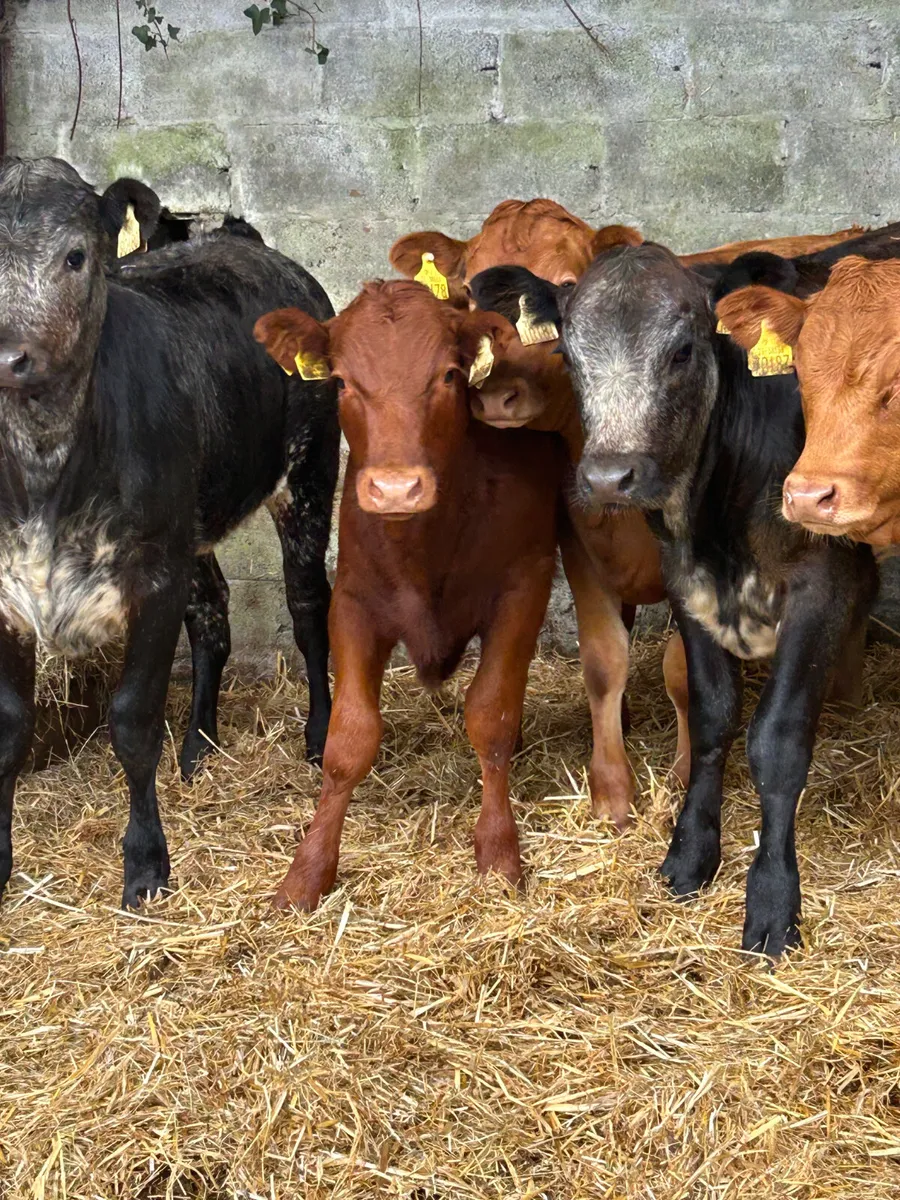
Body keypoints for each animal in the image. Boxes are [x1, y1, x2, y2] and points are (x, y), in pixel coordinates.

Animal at [0, 156, 339, 909]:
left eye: (76, 256)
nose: (6, 355)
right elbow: (7, 727)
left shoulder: (151, 578)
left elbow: (131, 721)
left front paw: (146, 865)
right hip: (192, 524)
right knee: (213, 612)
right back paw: (199, 748)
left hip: (308, 475)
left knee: (309, 608)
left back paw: (319, 735)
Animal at [254, 280, 565, 911]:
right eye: (341, 381)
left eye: (448, 375)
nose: (396, 488)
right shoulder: (352, 601)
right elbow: (348, 739)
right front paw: (307, 873)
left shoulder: (524, 586)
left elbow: (491, 715)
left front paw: (499, 852)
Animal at [473, 247, 876, 956]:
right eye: (569, 354)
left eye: (684, 350)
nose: (609, 477)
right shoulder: (687, 583)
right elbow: (714, 714)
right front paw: (690, 853)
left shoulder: (820, 584)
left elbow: (778, 737)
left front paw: (772, 898)